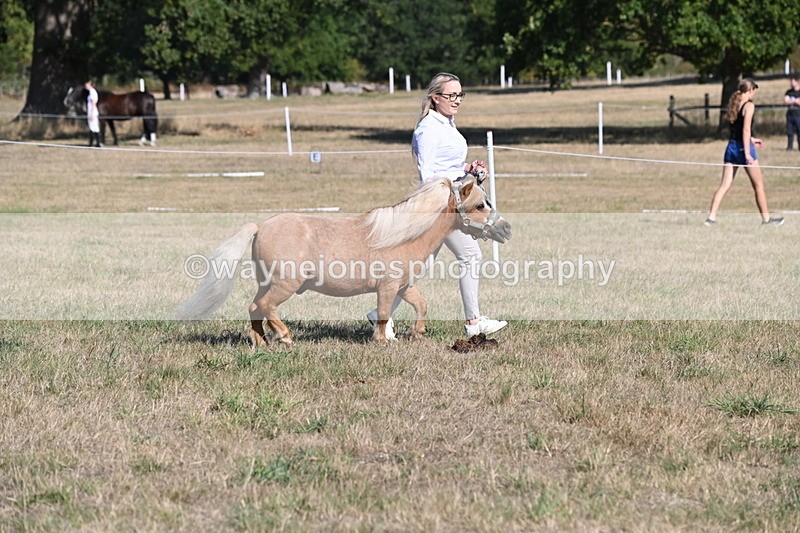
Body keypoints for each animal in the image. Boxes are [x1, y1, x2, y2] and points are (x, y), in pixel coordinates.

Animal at [177, 175, 512, 345]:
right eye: (480, 205)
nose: (506, 227)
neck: (403, 235)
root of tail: (260, 227)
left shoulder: (404, 286)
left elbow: (421, 305)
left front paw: (415, 333)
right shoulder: (388, 287)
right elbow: (383, 314)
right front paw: (382, 341)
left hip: (267, 282)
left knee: (254, 307)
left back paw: (261, 342)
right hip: (285, 285)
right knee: (265, 306)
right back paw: (284, 337)